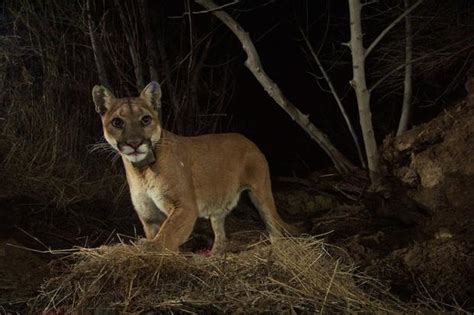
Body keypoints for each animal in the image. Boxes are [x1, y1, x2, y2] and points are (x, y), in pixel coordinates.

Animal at [92, 81, 298, 254]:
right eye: (117, 122)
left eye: (145, 120)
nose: (134, 143)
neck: (142, 170)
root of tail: (248, 140)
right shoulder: (149, 216)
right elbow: (164, 236)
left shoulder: (184, 206)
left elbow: (167, 235)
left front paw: (149, 248)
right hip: (218, 205)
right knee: (221, 234)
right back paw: (214, 255)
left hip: (261, 193)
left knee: (273, 225)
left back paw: (277, 250)